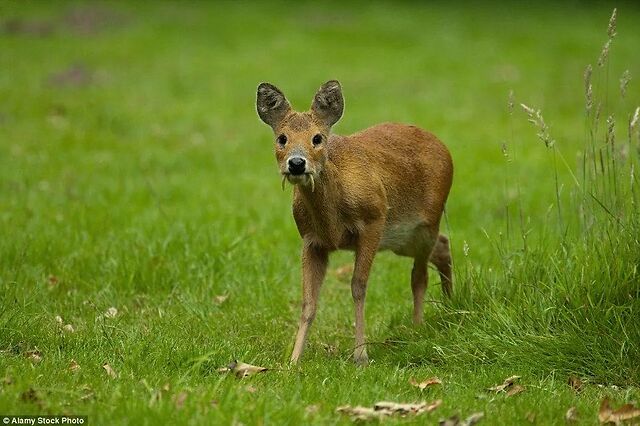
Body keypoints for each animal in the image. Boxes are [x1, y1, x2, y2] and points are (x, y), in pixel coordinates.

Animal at [256, 80, 456, 366]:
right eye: (282, 138)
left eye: (317, 138)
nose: (296, 163)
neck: (331, 219)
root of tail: (443, 147)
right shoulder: (311, 240)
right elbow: (308, 302)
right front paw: (293, 360)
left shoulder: (374, 220)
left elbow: (358, 287)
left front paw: (361, 355)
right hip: (403, 239)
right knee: (442, 246)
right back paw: (449, 305)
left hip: (425, 223)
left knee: (420, 274)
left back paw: (419, 326)